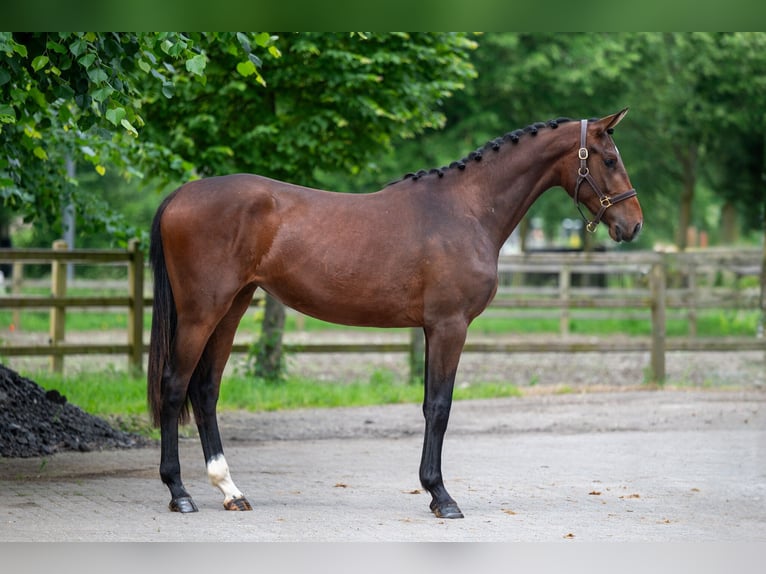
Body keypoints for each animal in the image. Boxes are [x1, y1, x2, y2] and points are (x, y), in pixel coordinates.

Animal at [148, 108, 640, 516]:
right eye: (609, 159)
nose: (633, 224)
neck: (466, 209)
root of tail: (180, 195)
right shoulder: (449, 326)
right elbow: (440, 406)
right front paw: (442, 496)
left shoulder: (430, 329)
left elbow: (428, 404)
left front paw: (433, 491)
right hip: (201, 312)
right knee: (174, 387)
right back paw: (180, 493)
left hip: (232, 307)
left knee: (205, 390)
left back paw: (230, 490)